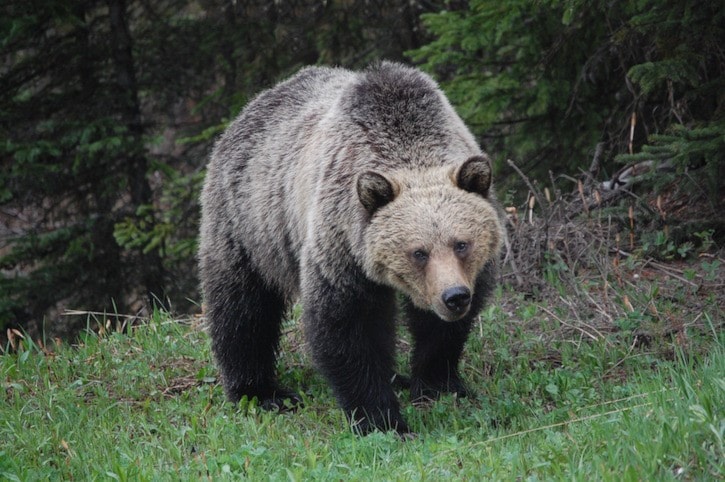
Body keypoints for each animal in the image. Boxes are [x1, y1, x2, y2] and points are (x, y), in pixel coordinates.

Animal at [198, 62, 504, 434]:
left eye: (462, 244)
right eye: (418, 252)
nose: (454, 297)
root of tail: (251, 106)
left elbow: (440, 331)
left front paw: (438, 384)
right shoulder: (341, 244)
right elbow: (348, 326)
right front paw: (382, 419)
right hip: (249, 223)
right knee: (243, 308)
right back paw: (261, 392)